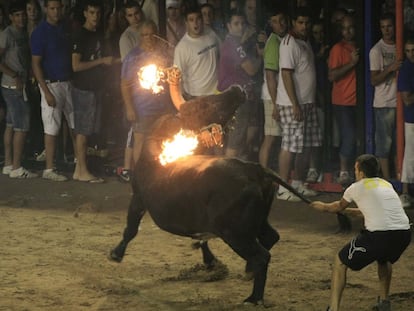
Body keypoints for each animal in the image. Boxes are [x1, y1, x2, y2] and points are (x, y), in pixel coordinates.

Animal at [109, 86, 350, 306]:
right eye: (204, 104)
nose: (236, 89)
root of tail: (255, 169)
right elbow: (202, 240)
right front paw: (211, 262)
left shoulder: (138, 198)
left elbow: (131, 229)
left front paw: (115, 254)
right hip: (255, 221)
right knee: (270, 239)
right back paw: (249, 272)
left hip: (235, 232)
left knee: (262, 255)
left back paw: (253, 298)